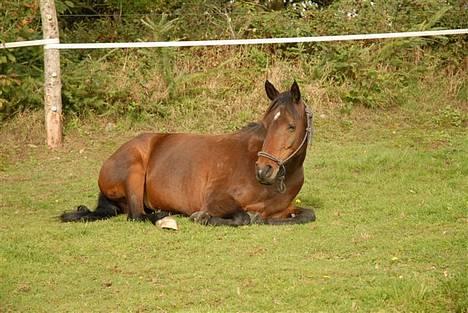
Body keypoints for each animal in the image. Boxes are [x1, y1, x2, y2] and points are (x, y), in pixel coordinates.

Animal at [58, 80, 314, 225]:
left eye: (291, 126)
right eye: (265, 124)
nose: (263, 170)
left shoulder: (283, 209)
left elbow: (308, 215)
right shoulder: (215, 199)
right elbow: (241, 217)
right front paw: (202, 217)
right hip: (134, 170)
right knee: (136, 216)